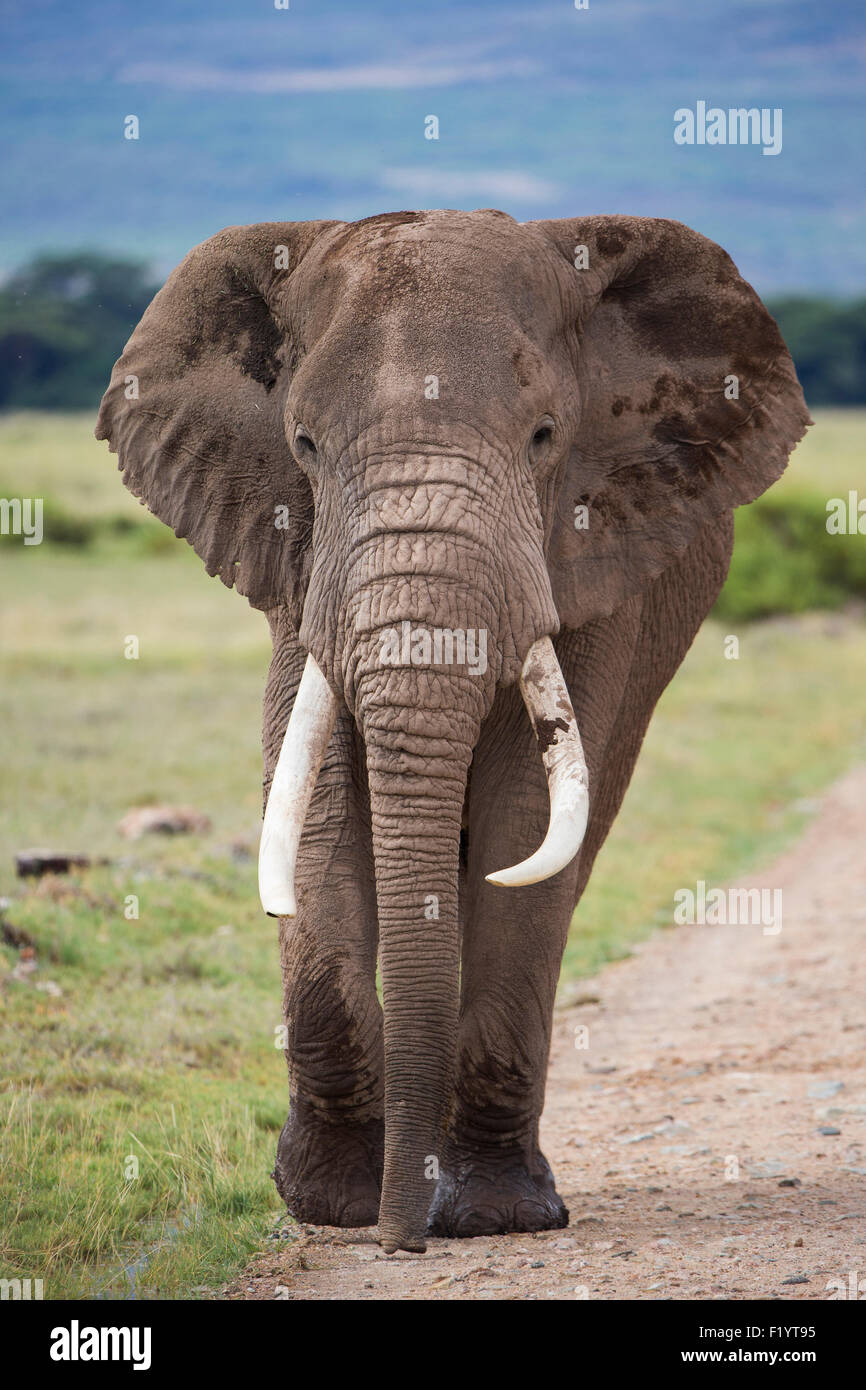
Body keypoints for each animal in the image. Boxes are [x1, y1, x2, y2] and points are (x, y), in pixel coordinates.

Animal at [96, 208, 811, 1262]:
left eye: (546, 437)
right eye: (303, 444)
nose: (400, 1245)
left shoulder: (593, 561)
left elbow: (523, 824)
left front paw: (493, 1219)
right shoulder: (299, 560)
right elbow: (315, 809)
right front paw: (334, 1206)